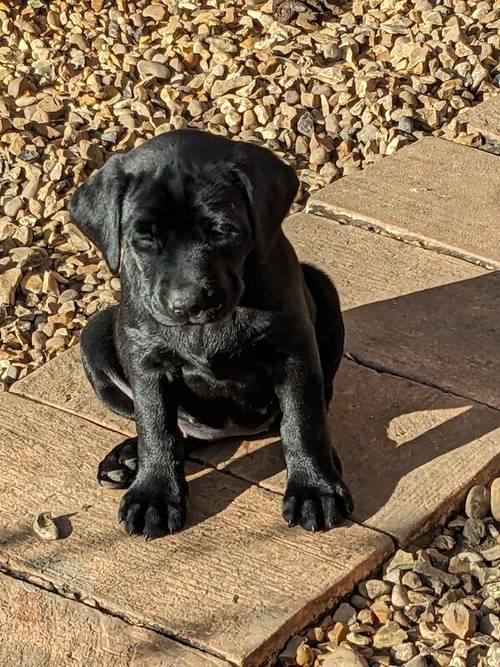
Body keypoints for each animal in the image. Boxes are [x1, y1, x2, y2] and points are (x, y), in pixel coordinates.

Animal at [69, 128, 352, 540]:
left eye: (222, 231)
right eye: (145, 238)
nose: (188, 304)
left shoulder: (292, 352)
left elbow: (303, 419)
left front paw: (314, 488)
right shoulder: (147, 362)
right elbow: (156, 426)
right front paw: (154, 494)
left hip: (323, 287)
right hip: (94, 336)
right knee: (174, 429)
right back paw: (127, 458)